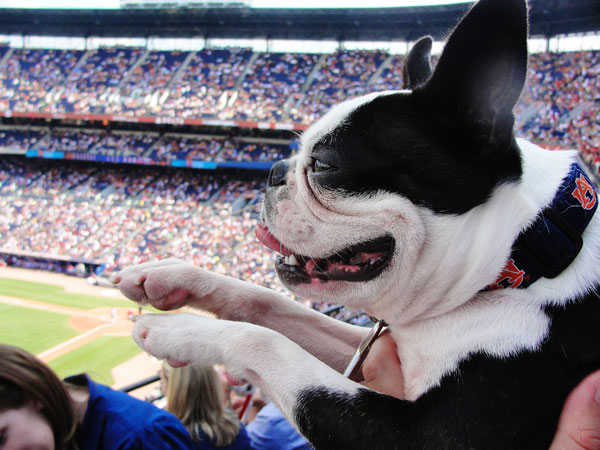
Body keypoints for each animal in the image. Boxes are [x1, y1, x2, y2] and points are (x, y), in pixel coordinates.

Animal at [112, 1, 600, 448]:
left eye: (324, 166)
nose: (272, 170)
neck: (528, 256)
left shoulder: (428, 436)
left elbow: (268, 343)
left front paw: (181, 331)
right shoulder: (371, 352)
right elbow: (273, 304)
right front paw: (171, 276)